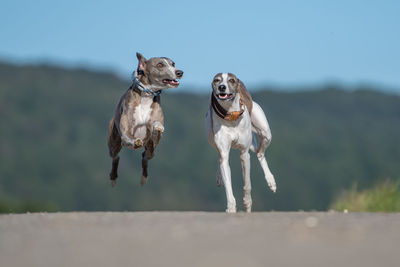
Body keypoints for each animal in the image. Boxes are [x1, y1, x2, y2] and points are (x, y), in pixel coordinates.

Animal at [108, 51, 183, 186]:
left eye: (173, 64)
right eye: (160, 65)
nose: (179, 72)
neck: (147, 95)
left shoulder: (154, 135)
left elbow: (157, 128)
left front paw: (157, 127)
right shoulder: (126, 130)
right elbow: (128, 136)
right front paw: (135, 141)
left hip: (149, 151)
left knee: (145, 156)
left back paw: (144, 178)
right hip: (114, 143)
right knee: (116, 156)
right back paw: (113, 177)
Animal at [206, 73, 276, 214]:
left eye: (231, 80)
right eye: (217, 80)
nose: (222, 87)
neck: (230, 115)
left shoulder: (244, 154)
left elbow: (247, 184)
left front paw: (247, 204)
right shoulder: (224, 151)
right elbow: (227, 181)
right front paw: (231, 207)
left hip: (265, 133)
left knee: (260, 154)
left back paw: (271, 180)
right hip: (211, 136)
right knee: (219, 156)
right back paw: (219, 176)